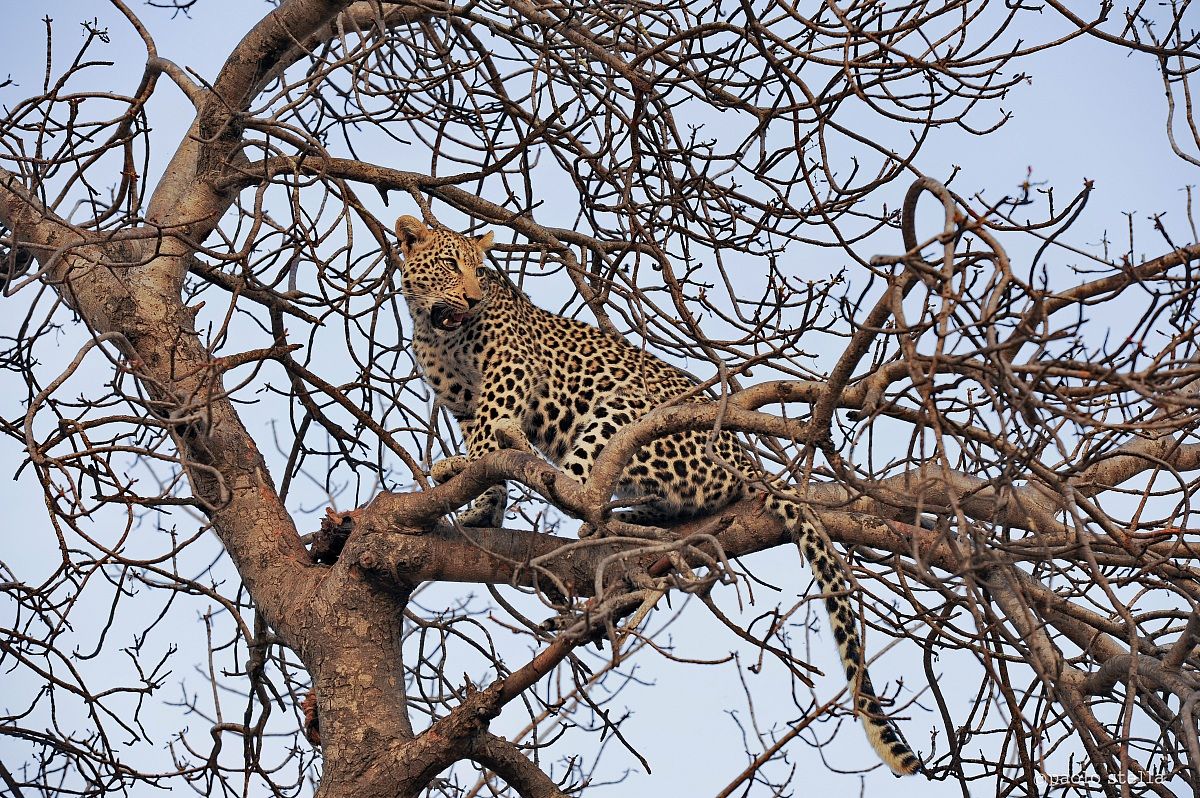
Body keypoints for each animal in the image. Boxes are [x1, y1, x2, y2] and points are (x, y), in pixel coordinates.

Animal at [394, 214, 923, 777]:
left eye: (479, 269)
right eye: (452, 265)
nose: (472, 298)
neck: (435, 330)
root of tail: (744, 455)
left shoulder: (508, 377)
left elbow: (491, 438)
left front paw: (464, 469)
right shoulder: (461, 405)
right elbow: (486, 460)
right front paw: (481, 512)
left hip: (624, 411)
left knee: (582, 486)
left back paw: (577, 508)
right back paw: (632, 520)